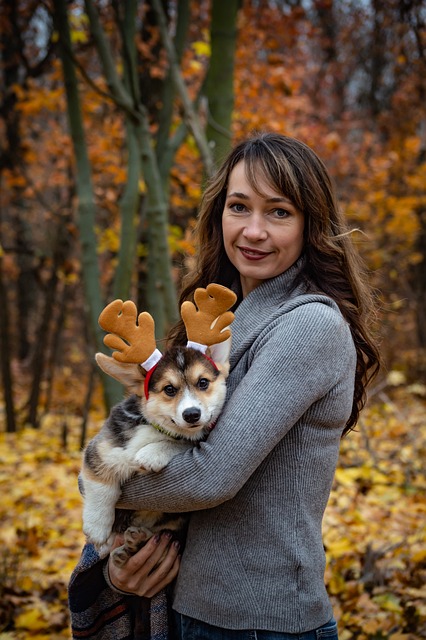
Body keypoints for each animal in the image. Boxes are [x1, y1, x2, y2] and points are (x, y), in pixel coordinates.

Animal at [81, 340, 231, 564]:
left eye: (203, 383)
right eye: (169, 389)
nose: (192, 414)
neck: (156, 428)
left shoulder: (193, 440)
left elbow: (180, 443)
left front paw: (151, 454)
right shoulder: (99, 449)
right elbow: (101, 486)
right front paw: (97, 530)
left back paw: (134, 543)